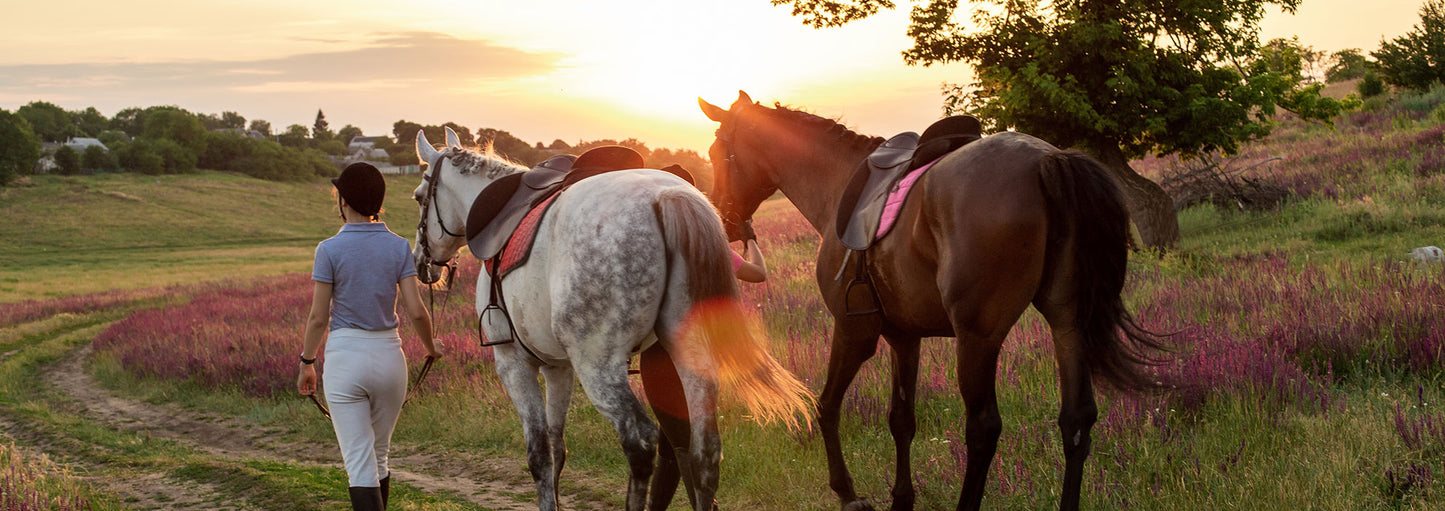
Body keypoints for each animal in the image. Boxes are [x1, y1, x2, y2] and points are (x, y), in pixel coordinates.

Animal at [409, 127, 812, 511]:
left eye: (418, 196)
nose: (421, 262)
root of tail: (667, 196)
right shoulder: (558, 367)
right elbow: (558, 448)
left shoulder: (515, 364)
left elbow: (540, 455)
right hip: (689, 358)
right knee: (704, 451)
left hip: (598, 367)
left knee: (641, 442)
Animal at [699, 92, 1162, 511]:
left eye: (716, 153)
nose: (723, 219)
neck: (838, 183)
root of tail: (1048, 160)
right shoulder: (905, 337)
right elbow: (901, 420)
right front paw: (902, 498)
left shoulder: (853, 331)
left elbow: (826, 406)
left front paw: (847, 492)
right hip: (1068, 323)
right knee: (1076, 420)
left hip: (977, 337)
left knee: (983, 429)